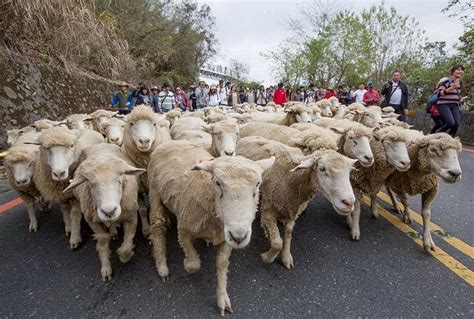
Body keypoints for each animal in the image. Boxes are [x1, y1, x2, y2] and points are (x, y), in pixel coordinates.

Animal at [63, 145, 144, 282]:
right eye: (90, 184)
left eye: (119, 180)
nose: (109, 211)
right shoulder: (93, 221)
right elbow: (102, 243)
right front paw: (106, 268)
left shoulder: (131, 217)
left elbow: (127, 246)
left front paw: (124, 256)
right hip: (79, 199)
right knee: (75, 212)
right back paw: (75, 238)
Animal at [147, 141, 274, 318]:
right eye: (218, 183)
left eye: (258, 184)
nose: (239, 237)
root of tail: (170, 142)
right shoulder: (183, 230)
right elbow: (194, 265)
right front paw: (188, 263)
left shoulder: (227, 236)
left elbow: (222, 263)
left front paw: (222, 298)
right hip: (153, 190)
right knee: (157, 225)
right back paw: (162, 266)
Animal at [236, 137, 356, 270]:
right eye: (322, 169)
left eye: (349, 171)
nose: (349, 202)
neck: (291, 179)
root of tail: (249, 137)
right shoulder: (268, 212)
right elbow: (277, 243)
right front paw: (267, 257)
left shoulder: (292, 210)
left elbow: (288, 233)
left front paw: (286, 257)